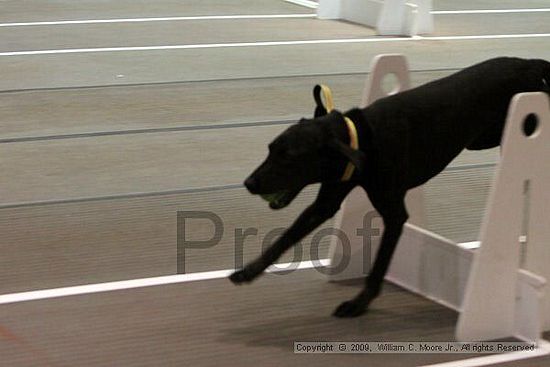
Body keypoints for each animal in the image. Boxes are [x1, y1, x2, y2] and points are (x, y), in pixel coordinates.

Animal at [230, 57, 550, 320]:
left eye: (289, 157)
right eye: (270, 149)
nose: (249, 183)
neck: (361, 139)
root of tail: (530, 62)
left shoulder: (395, 215)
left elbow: (379, 265)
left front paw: (359, 303)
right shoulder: (326, 202)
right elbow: (284, 238)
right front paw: (248, 271)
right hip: (483, 138)